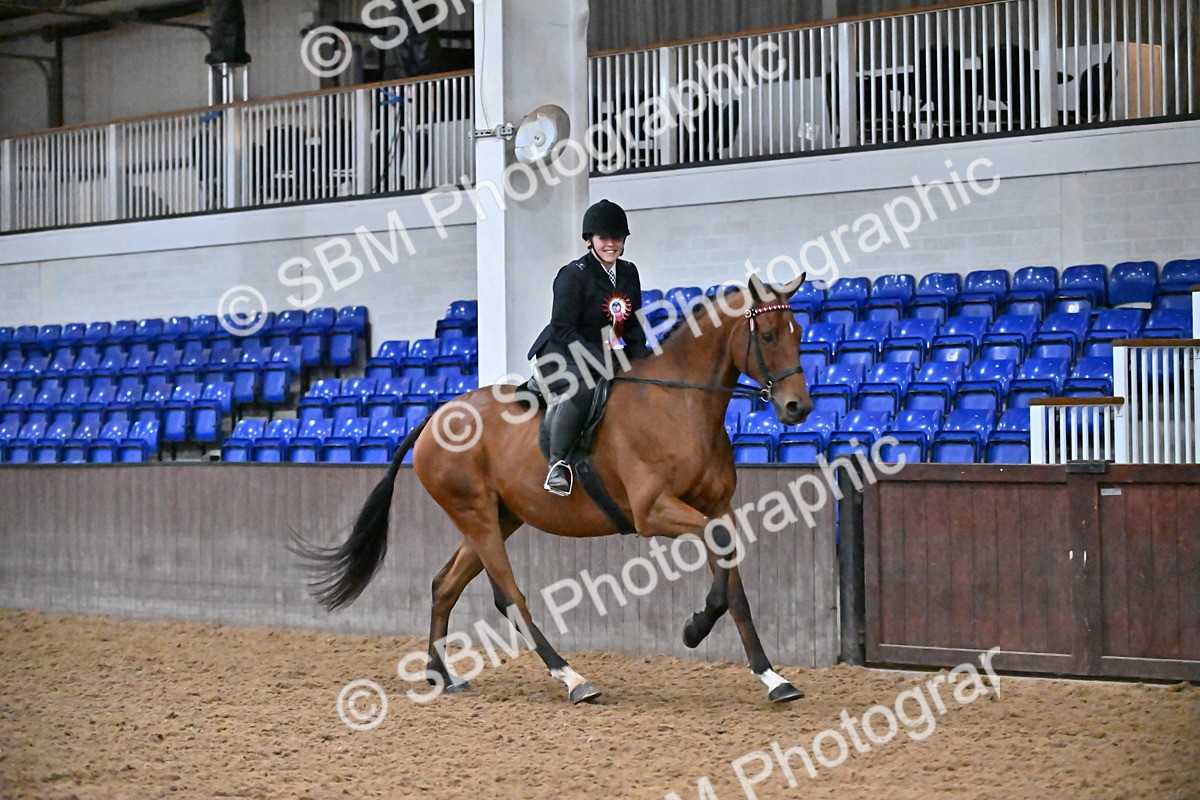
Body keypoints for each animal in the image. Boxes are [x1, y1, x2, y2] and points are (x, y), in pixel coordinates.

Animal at [296, 272, 814, 704]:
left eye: (799, 333)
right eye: (768, 336)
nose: (799, 408)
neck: (680, 404)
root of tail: (435, 416)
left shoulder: (717, 506)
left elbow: (735, 582)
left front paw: (772, 678)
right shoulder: (653, 511)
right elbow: (720, 558)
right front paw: (695, 627)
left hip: (499, 517)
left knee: (445, 585)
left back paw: (441, 675)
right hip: (476, 515)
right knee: (510, 597)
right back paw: (572, 678)